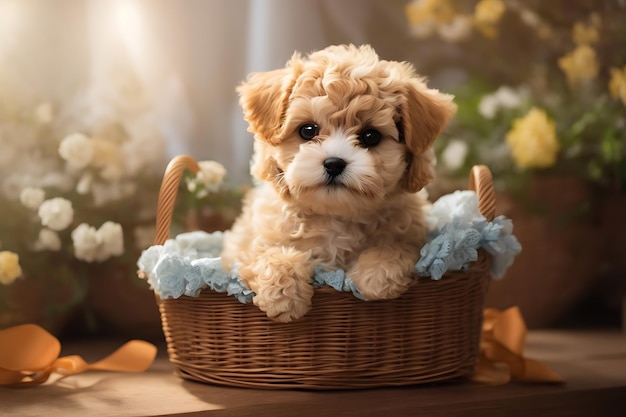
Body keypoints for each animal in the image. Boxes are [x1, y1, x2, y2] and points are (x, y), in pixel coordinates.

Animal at [222, 44, 456, 322]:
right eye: (308, 130)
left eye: (370, 136)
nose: (334, 163)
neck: (335, 215)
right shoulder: (241, 249)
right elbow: (265, 254)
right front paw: (283, 296)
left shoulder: (413, 235)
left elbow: (397, 246)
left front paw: (378, 275)